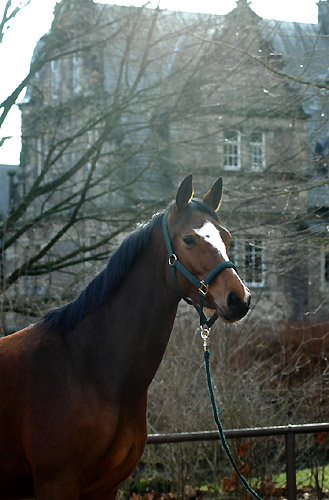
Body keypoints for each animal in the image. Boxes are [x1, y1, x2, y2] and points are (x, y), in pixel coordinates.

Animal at [0, 175, 249, 496]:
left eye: (226, 237)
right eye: (189, 239)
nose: (238, 298)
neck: (87, 368)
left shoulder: (106, 486)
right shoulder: (57, 483)